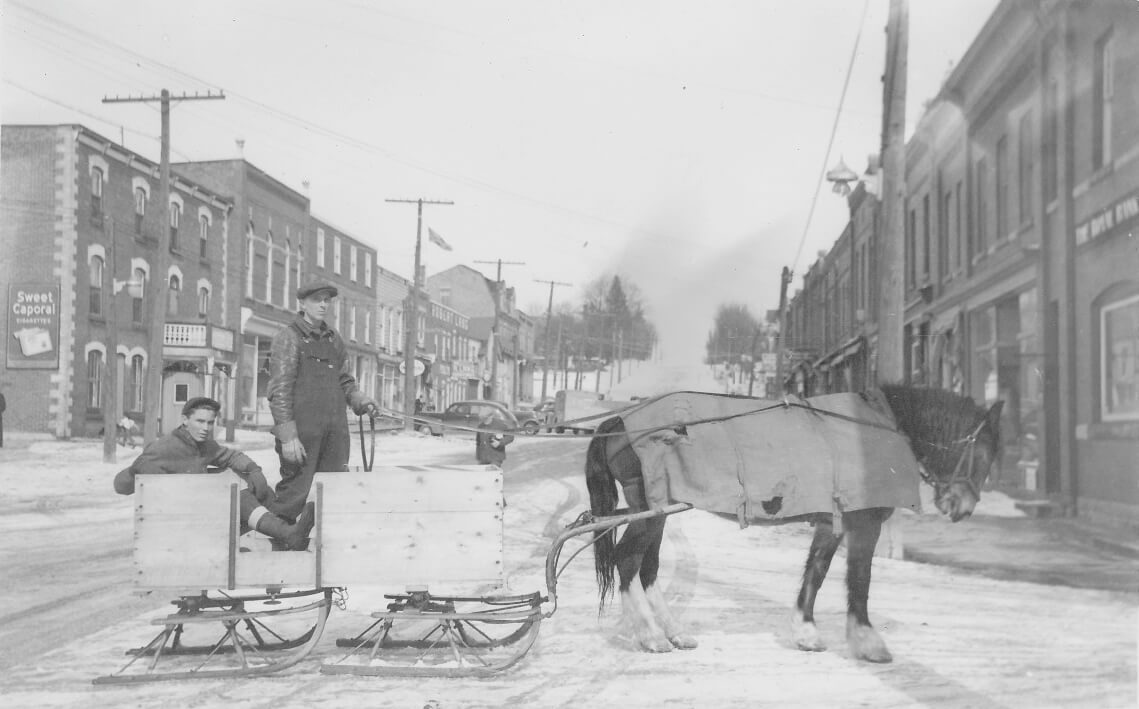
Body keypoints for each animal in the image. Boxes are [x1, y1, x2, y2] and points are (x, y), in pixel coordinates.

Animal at [583, 385, 1002, 665]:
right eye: (986, 451)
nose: (963, 507)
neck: (877, 426)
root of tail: (618, 421)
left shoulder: (832, 523)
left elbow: (817, 571)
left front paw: (806, 632)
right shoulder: (864, 524)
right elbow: (860, 578)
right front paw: (869, 642)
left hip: (657, 511)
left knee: (648, 568)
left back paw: (674, 632)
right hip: (649, 510)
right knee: (627, 560)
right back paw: (650, 635)